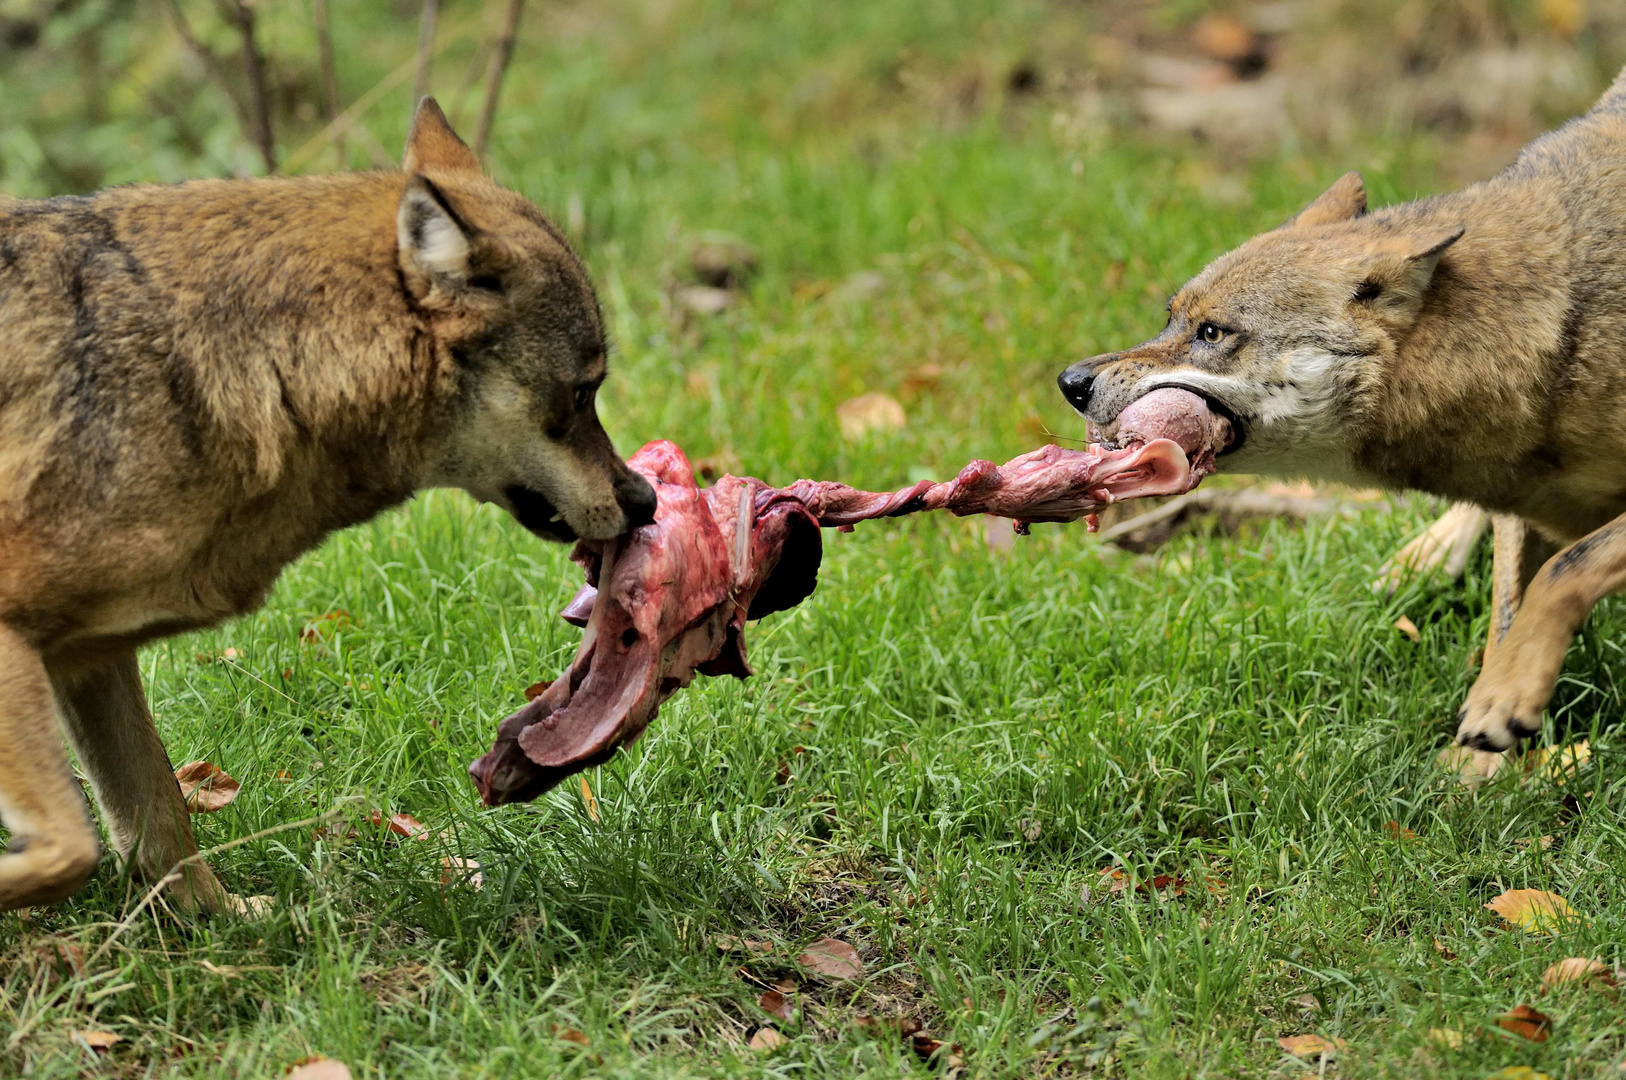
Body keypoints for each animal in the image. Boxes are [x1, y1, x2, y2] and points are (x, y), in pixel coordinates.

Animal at [1, 99, 660, 910]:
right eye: (583, 392)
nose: (646, 499)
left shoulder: (92, 658)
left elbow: (160, 820)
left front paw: (220, 919)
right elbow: (74, 848)